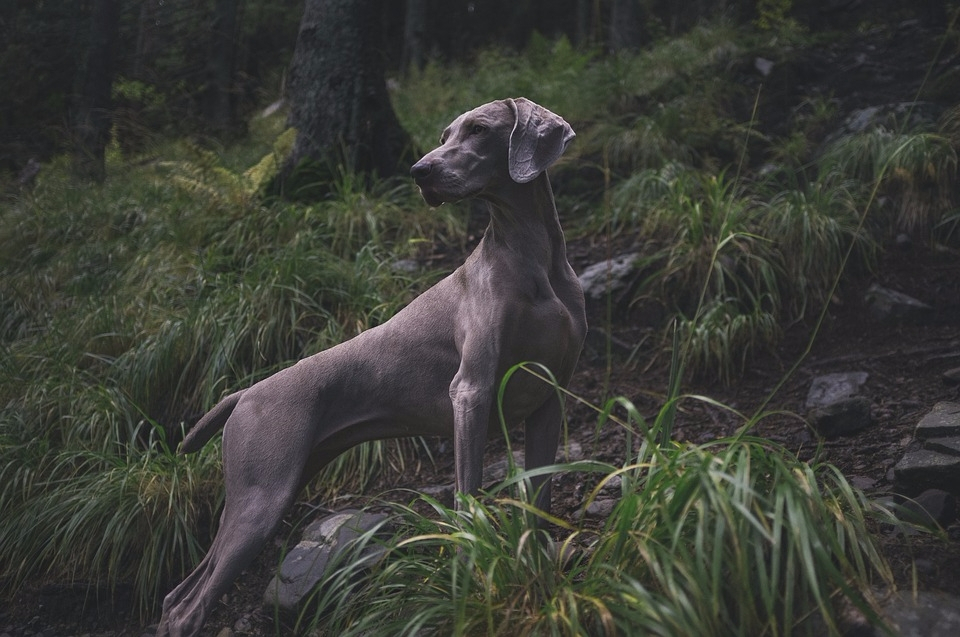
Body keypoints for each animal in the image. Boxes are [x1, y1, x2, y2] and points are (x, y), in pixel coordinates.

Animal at [158, 97, 584, 632]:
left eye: (479, 130)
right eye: (444, 135)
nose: (419, 171)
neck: (532, 256)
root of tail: (244, 392)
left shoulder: (550, 398)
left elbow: (539, 502)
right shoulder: (471, 391)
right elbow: (467, 497)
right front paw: (473, 569)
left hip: (271, 489)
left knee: (178, 594)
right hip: (259, 500)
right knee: (188, 607)